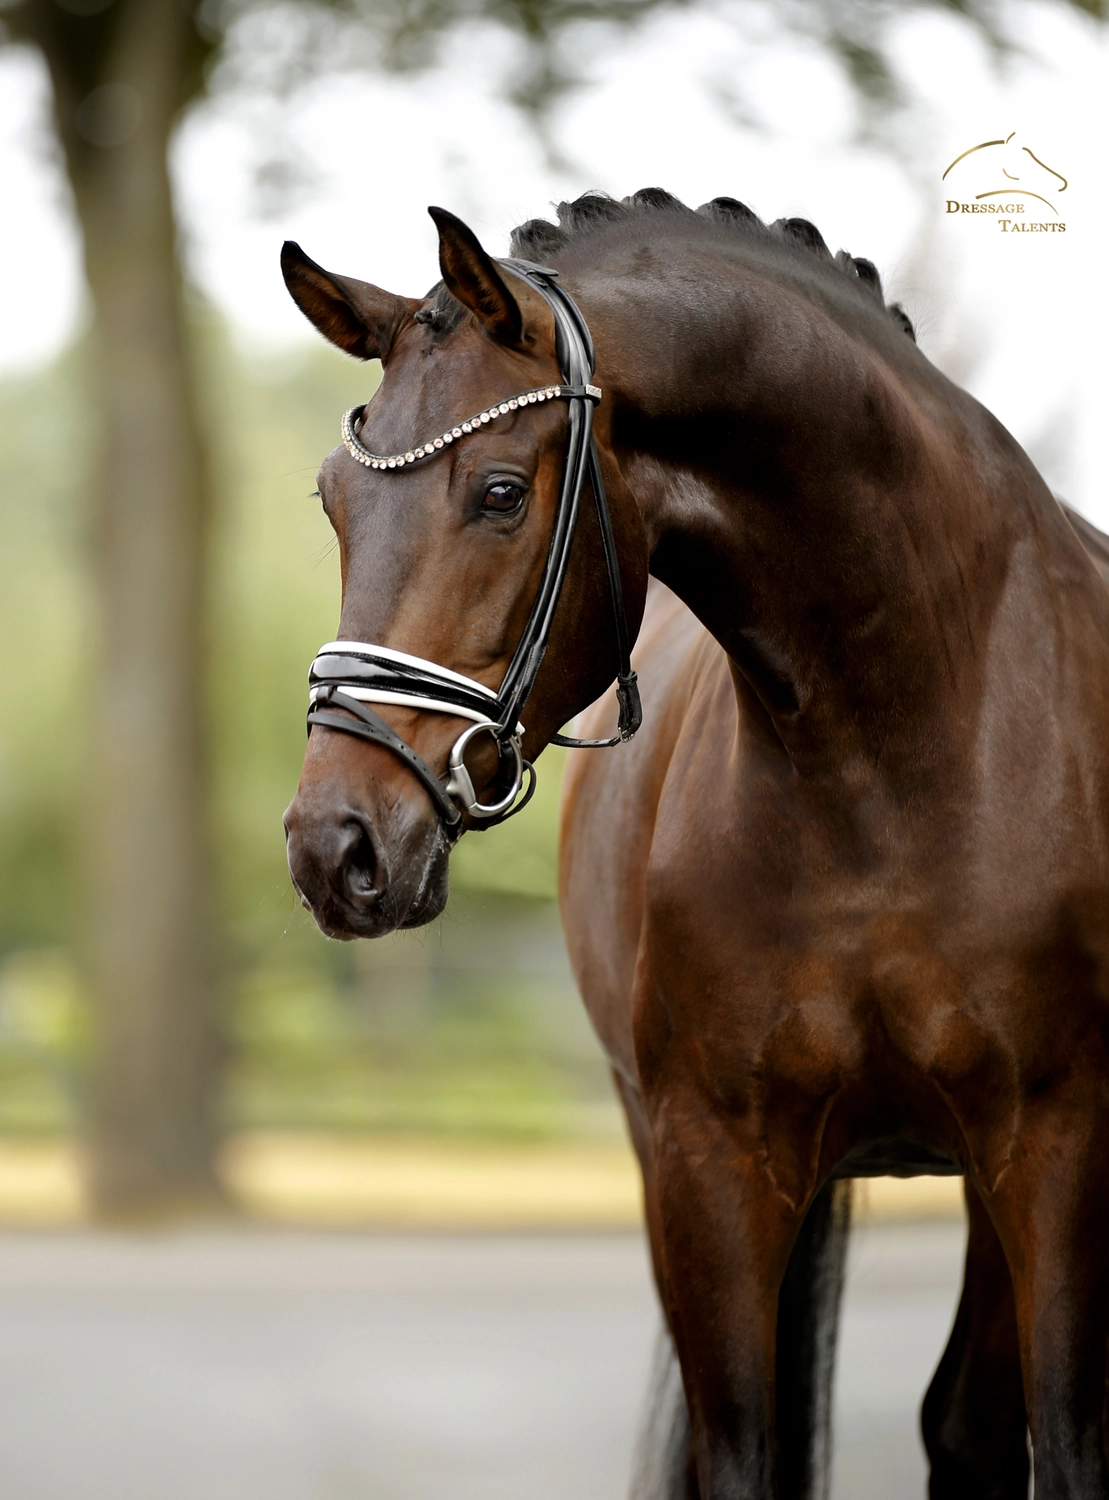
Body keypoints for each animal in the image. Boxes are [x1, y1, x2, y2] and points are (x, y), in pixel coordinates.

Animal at [279, 189, 1109, 1499]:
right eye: (331, 501)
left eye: (500, 492)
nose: (333, 846)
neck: (894, 751)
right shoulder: (708, 1163)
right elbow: (738, 1451)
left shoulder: (1054, 1145)